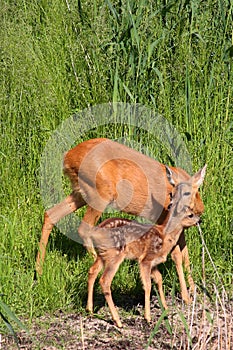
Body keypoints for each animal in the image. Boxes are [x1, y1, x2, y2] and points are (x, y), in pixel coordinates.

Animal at [35, 139, 205, 304]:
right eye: (172, 193)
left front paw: (194, 290)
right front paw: (187, 297)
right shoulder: (165, 222)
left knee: (51, 214)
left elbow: (185, 255)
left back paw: (39, 271)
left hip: (81, 192)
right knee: (83, 229)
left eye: (187, 192)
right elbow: (177, 255)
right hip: (100, 192)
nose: (171, 206)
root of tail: (68, 156)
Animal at [86, 165, 206, 326]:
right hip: (115, 256)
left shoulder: (154, 262)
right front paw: (148, 317)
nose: (200, 220)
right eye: (190, 215)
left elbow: (159, 279)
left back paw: (90, 309)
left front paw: (165, 308)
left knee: (92, 271)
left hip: (102, 255)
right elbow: (148, 285)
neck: (164, 235)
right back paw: (117, 321)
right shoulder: (145, 259)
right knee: (105, 281)